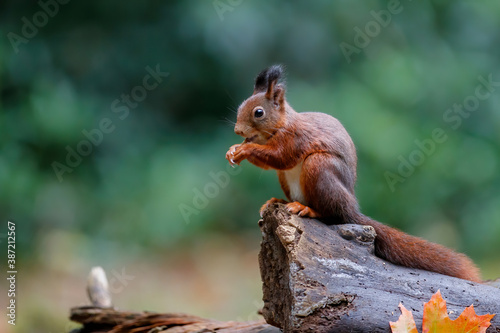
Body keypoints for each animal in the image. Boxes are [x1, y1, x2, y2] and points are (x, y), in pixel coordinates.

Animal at [226, 65, 480, 282]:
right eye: (240, 107)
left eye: (259, 113)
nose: (238, 130)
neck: (280, 125)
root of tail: (352, 208)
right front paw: (233, 150)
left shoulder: (295, 138)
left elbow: (280, 157)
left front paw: (245, 149)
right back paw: (279, 201)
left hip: (319, 167)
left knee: (331, 214)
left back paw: (307, 209)